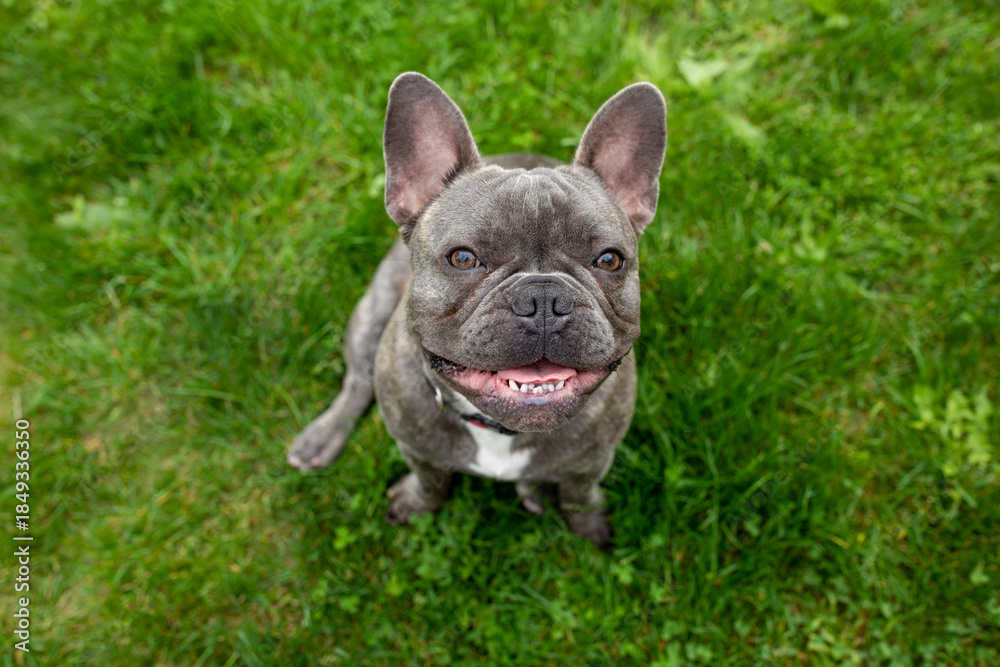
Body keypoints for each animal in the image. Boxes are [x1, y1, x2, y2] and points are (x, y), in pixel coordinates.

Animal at [288, 72, 666, 547]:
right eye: (463, 258)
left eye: (610, 260)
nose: (543, 298)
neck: (499, 432)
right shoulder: (416, 449)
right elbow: (431, 480)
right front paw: (417, 506)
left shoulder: (594, 459)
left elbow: (579, 493)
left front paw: (587, 526)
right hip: (372, 311)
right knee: (357, 380)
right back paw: (320, 439)